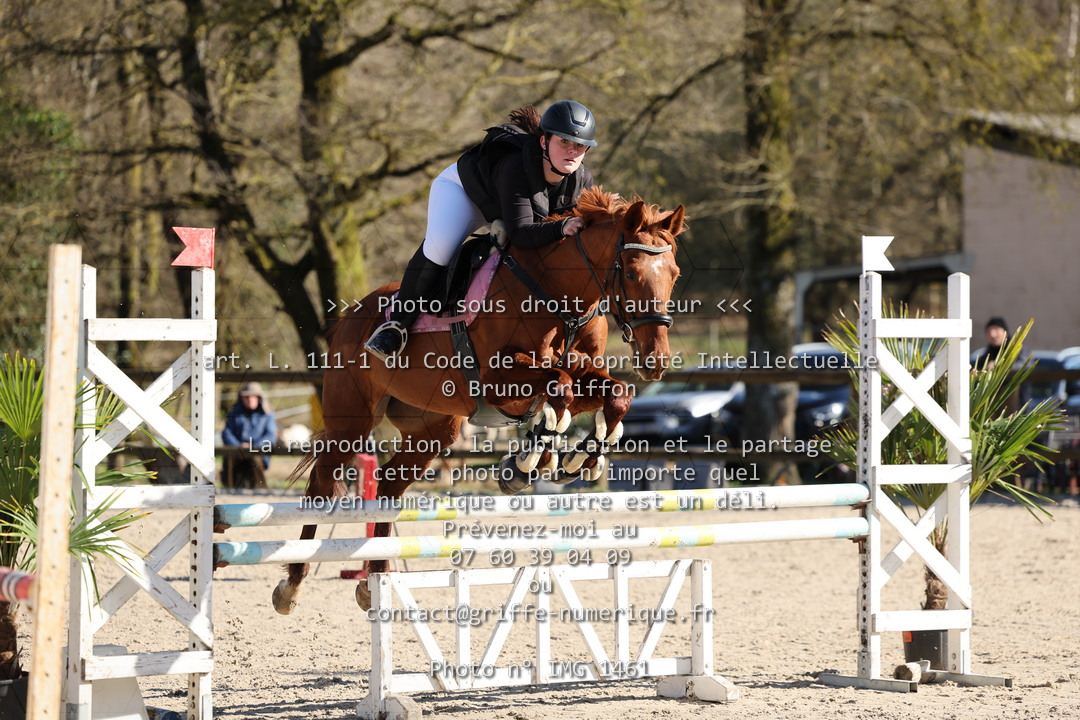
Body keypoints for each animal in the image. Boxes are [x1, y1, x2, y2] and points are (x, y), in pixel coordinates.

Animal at [275, 187, 685, 613]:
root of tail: (350, 316)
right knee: (322, 484)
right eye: (632, 273)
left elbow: (612, 395)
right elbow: (560, 387)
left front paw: (577, 458)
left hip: (434, 429)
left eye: (674, 274)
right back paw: (292, 584)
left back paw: (375, 579)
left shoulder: (579, 374)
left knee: (388, 485)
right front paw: (530, 462)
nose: (656, 360)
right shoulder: (499, 382)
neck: (558, 294)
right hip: (352, 419)